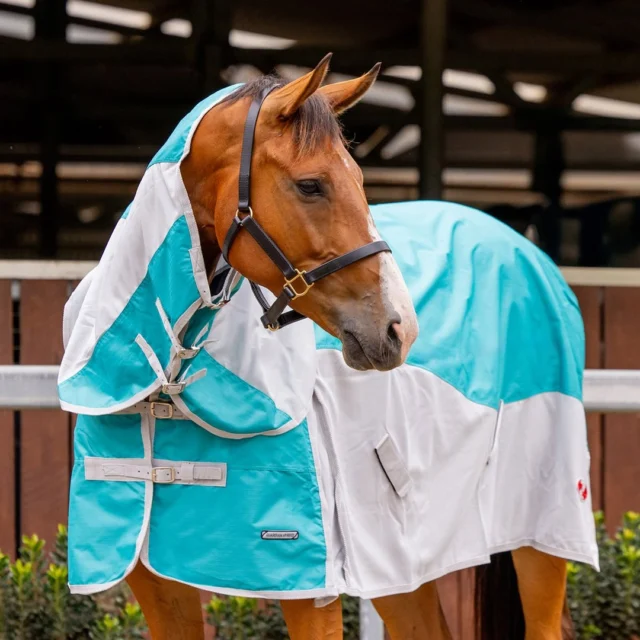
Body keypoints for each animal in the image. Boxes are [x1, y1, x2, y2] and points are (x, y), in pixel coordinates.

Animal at [60, 56, 596, 640]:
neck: (165, 387)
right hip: (403, 563)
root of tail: (527, 251)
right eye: (311, 184)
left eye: (359, 180)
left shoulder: (308, 592)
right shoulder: (157, 588)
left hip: (541, 532)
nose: (399, 328)